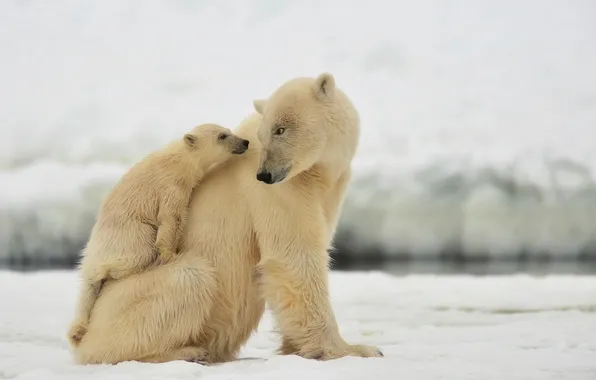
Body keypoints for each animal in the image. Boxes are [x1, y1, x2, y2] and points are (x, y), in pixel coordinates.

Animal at [66, 124, 248, 348]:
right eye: (222, 136)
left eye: (229, 131)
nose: (245, 142)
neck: (180, 159)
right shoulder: (171, 186)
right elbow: (170, 218)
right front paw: (170, 254)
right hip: (129, 234)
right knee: (136, 254)